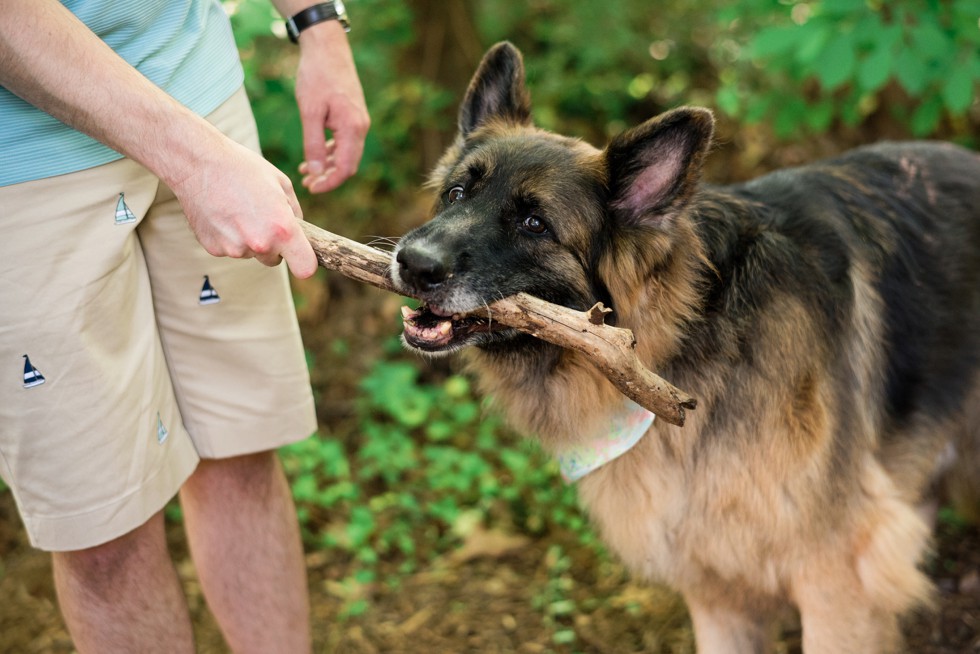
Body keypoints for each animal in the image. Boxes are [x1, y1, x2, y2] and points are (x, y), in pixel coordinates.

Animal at [390, 43, 980, 652]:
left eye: (534, 224)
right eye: (457, 194)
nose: (412, 262)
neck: (683, 345)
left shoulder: (838, 580)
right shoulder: (716, 586)